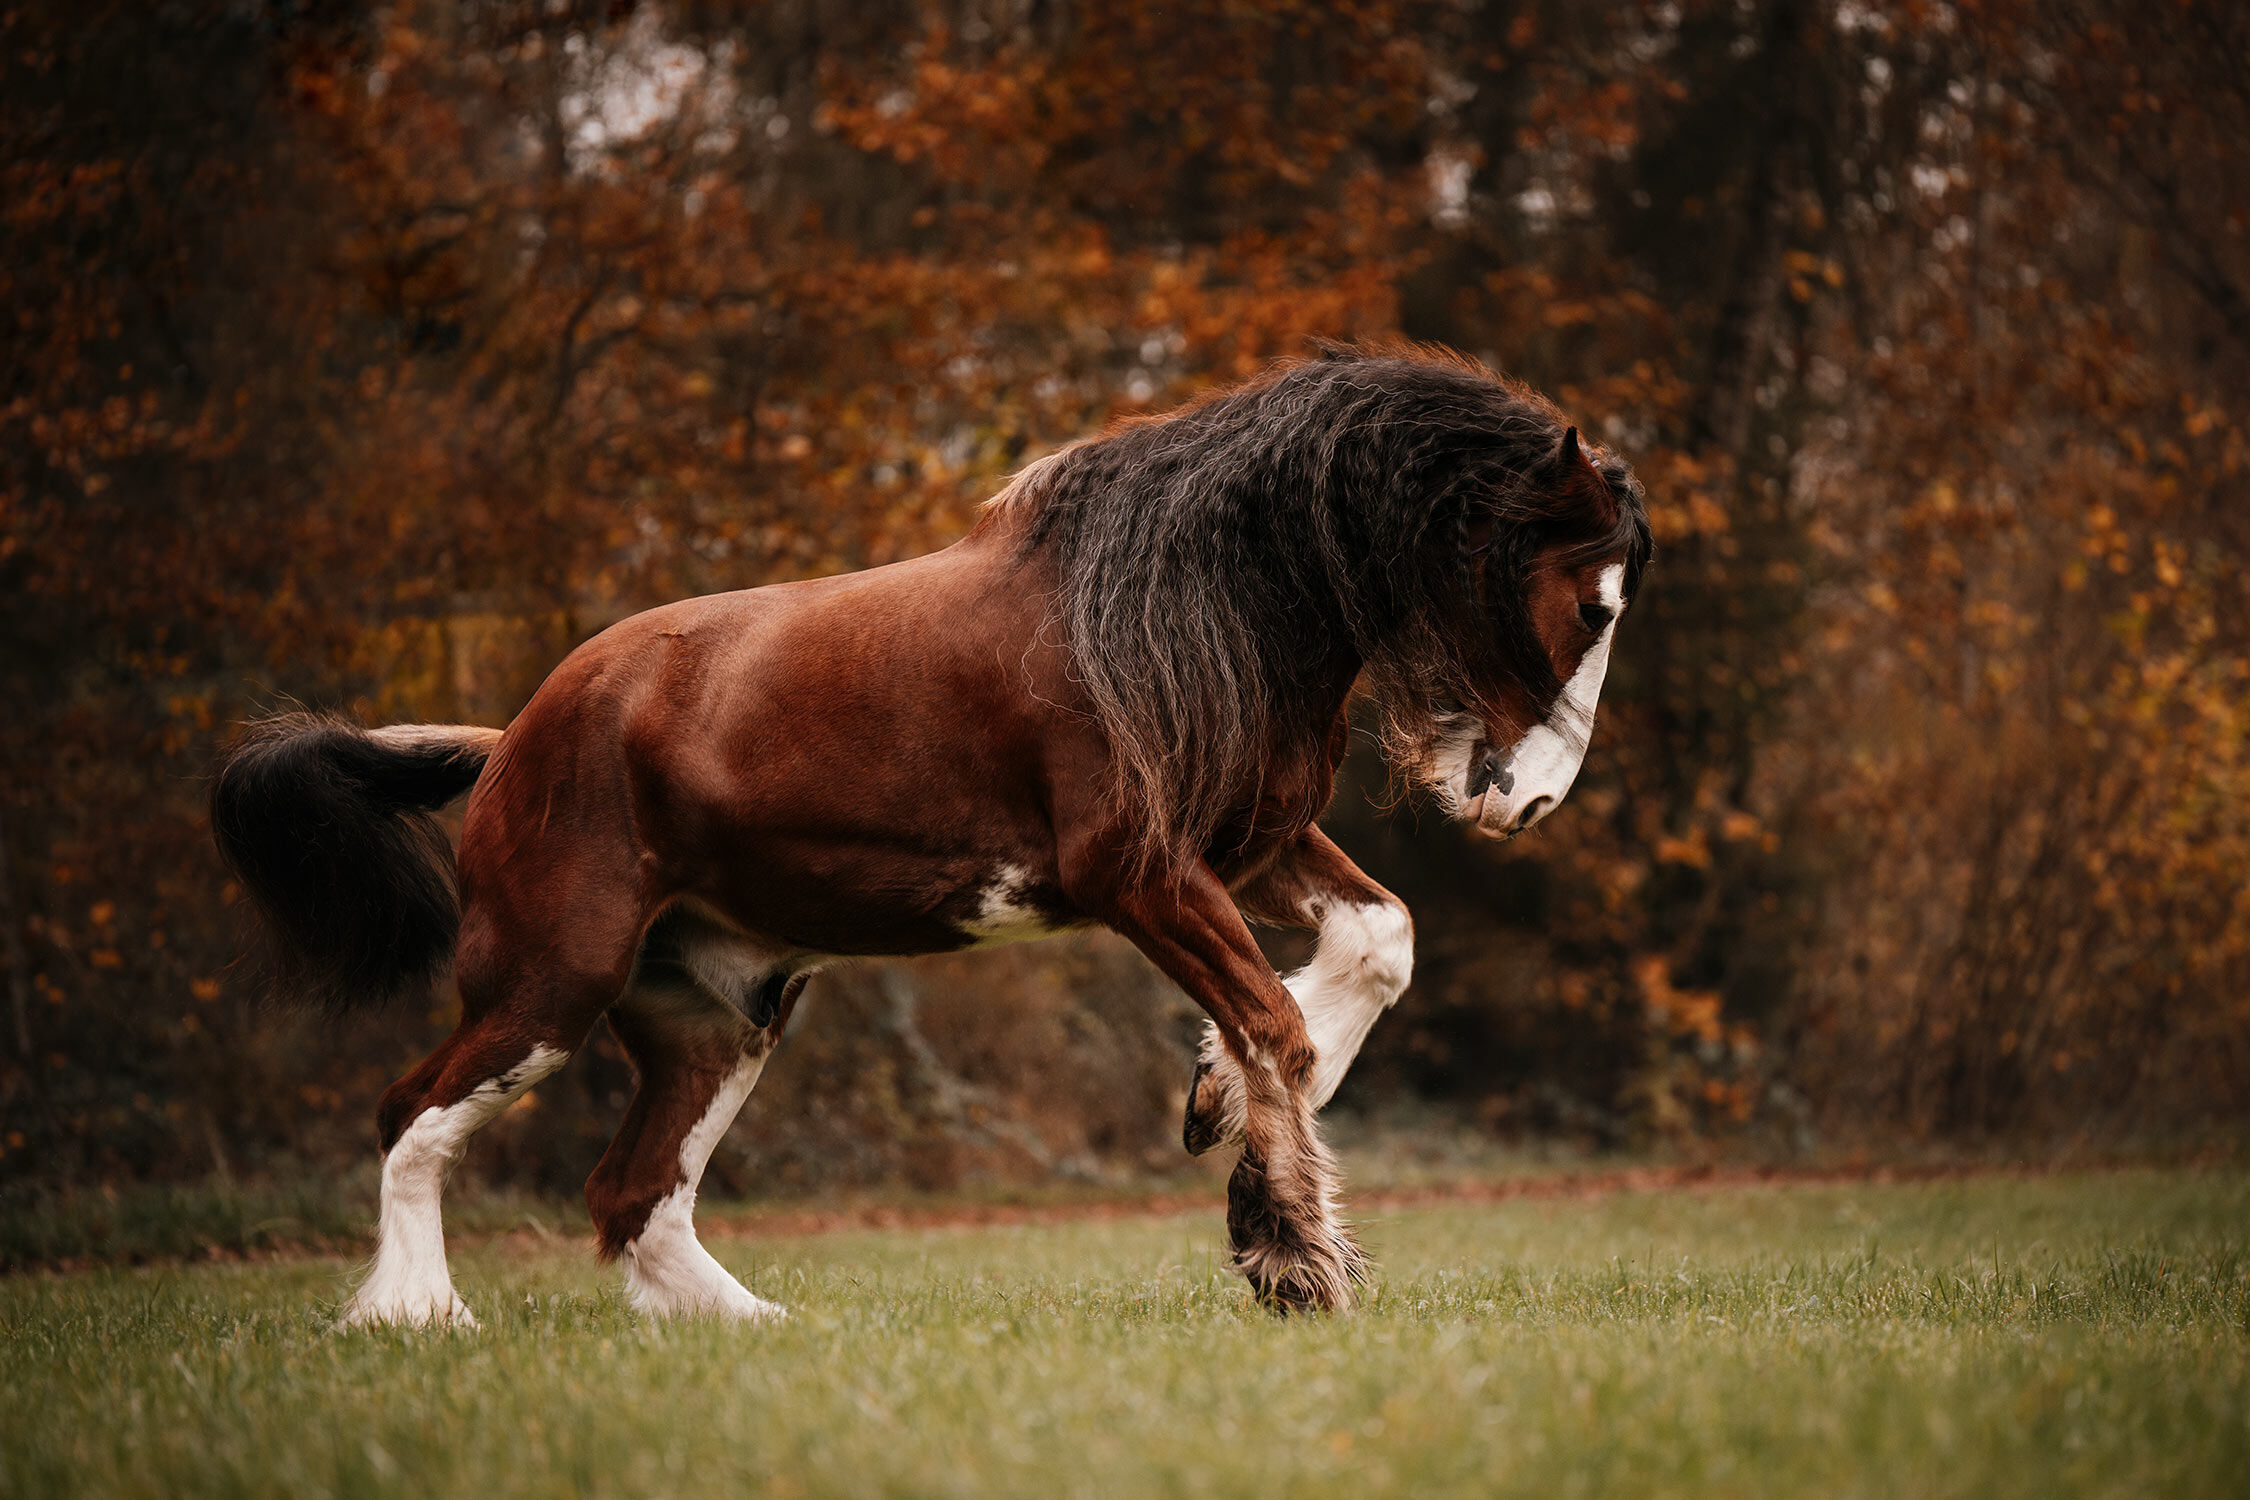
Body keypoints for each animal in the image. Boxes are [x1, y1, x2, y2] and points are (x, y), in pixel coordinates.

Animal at [210, 344, 1651, 1326]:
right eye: (1587, 603)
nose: (1525, 800)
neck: (1199, 596)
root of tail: (513, 733)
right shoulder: (1137, 872)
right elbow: (1280, 1027)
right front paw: (1293, 1257)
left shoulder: (1250, 841)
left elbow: (1369, 951)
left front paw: (1215, 1114)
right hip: (546, 985)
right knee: (413, 1117)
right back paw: (415, 1316)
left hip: (714, 1015)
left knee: (633, 1190)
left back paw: (748, 1329)